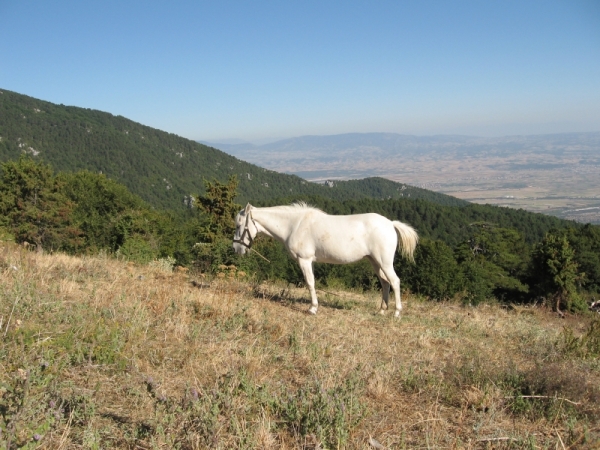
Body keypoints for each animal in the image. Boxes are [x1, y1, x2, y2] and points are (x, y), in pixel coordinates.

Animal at [232, 202, 420, 318]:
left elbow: (310, 283)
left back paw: (396, 313)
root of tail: (390, 223)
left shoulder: (305, 260)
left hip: (384, 262)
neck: (294, 225)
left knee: (394, 281)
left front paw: (313, 308)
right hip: (375, 262)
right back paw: (381, 311)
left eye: (239, 225)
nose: (236, 248)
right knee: (385, 283)